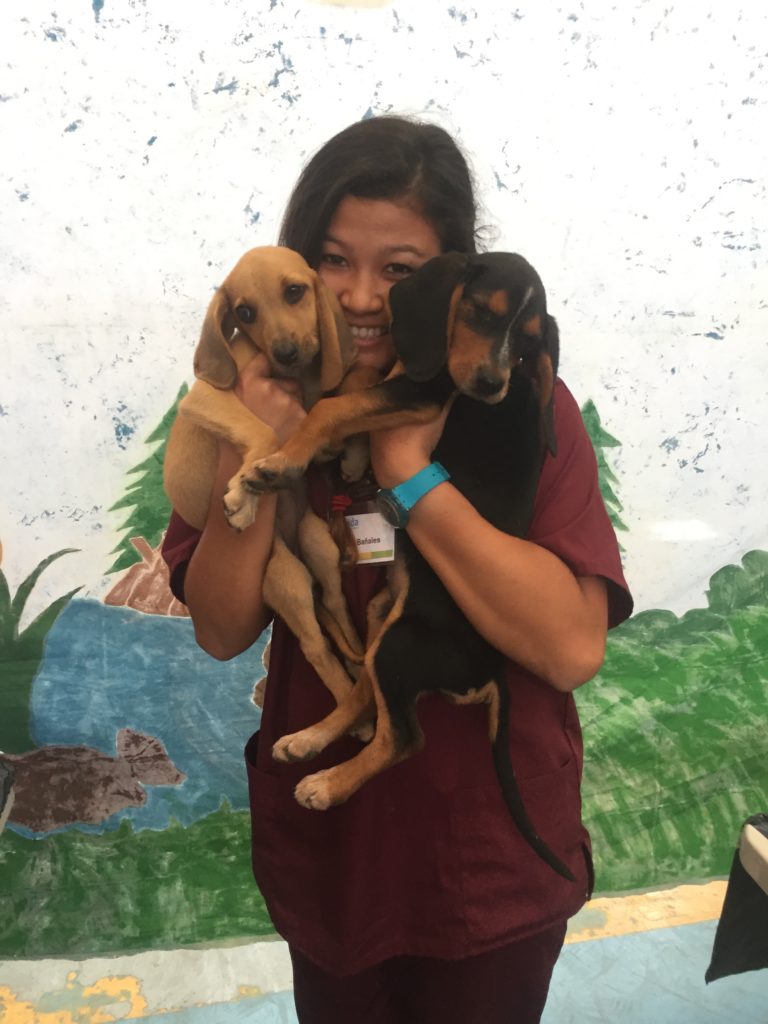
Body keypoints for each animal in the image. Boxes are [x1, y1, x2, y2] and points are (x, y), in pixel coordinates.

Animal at [166, 247, 370, 704]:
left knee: (336, 606)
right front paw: (244, 498)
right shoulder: (204, 399)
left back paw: (357, 662)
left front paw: (354, 455)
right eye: (244, 312)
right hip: (284, 576)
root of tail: (291, 544)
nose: (287, 352)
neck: (292, 377)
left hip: (319, 545)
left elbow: (329, 417)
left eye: (295, 291)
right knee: (315, 645)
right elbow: (265, 430)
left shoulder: (312, 422)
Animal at [243, 249, 573, 880]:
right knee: (365, 692)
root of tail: (489, 672)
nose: (491, 387)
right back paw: (309, 740)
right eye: (479, 311)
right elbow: (353, 387)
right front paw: (349, 457)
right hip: (383, 614)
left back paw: (326, 784)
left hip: (402, 642)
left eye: (528, 343)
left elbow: (333, 404)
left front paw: (281, 462)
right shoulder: (411, 379)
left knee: (404, 738)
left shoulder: (423, 392)